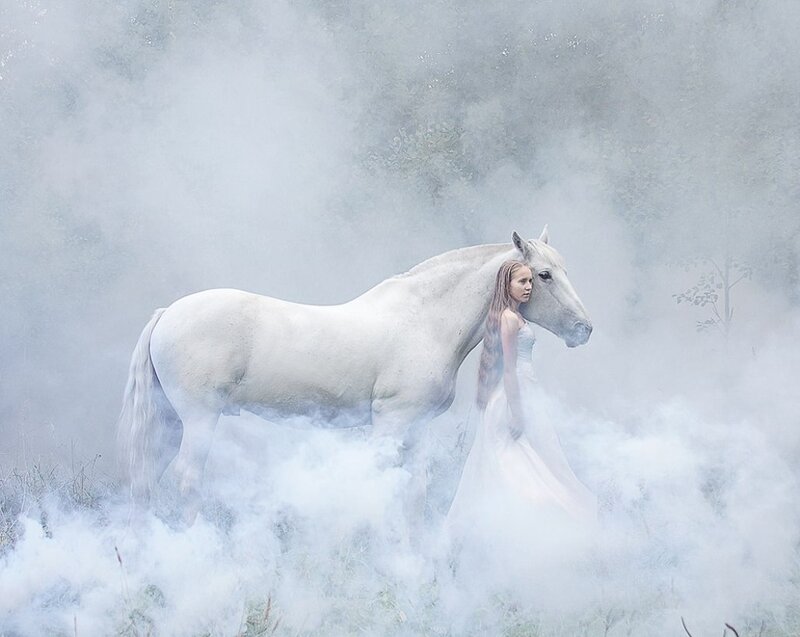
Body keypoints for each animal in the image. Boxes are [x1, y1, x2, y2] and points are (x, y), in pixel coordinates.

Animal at [117, 227, 592, 521]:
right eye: (543, 275)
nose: (584, 329)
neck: (424, 321)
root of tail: (168, 313)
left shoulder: (416, 429)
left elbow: (413, 494)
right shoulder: (390, 423)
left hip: (171, 421)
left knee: (145, 481)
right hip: (199, 418)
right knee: (187, 480)